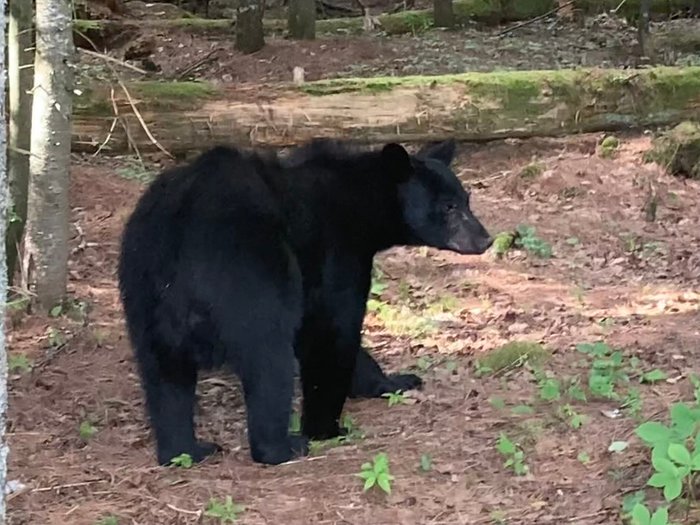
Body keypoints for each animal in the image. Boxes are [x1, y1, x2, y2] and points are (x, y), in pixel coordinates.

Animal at [117, 137, 492, 464]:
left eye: (466, 199)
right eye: (448, 206)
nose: (485, 239)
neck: (359, 205)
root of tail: (180, 230)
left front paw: (394, 381)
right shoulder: (336, 254)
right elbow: (334, 329)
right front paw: (327, 426)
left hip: (143, 288)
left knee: (164, 376)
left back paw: (185, 450)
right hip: (249, 274)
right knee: (269, 358)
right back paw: (282, 446)